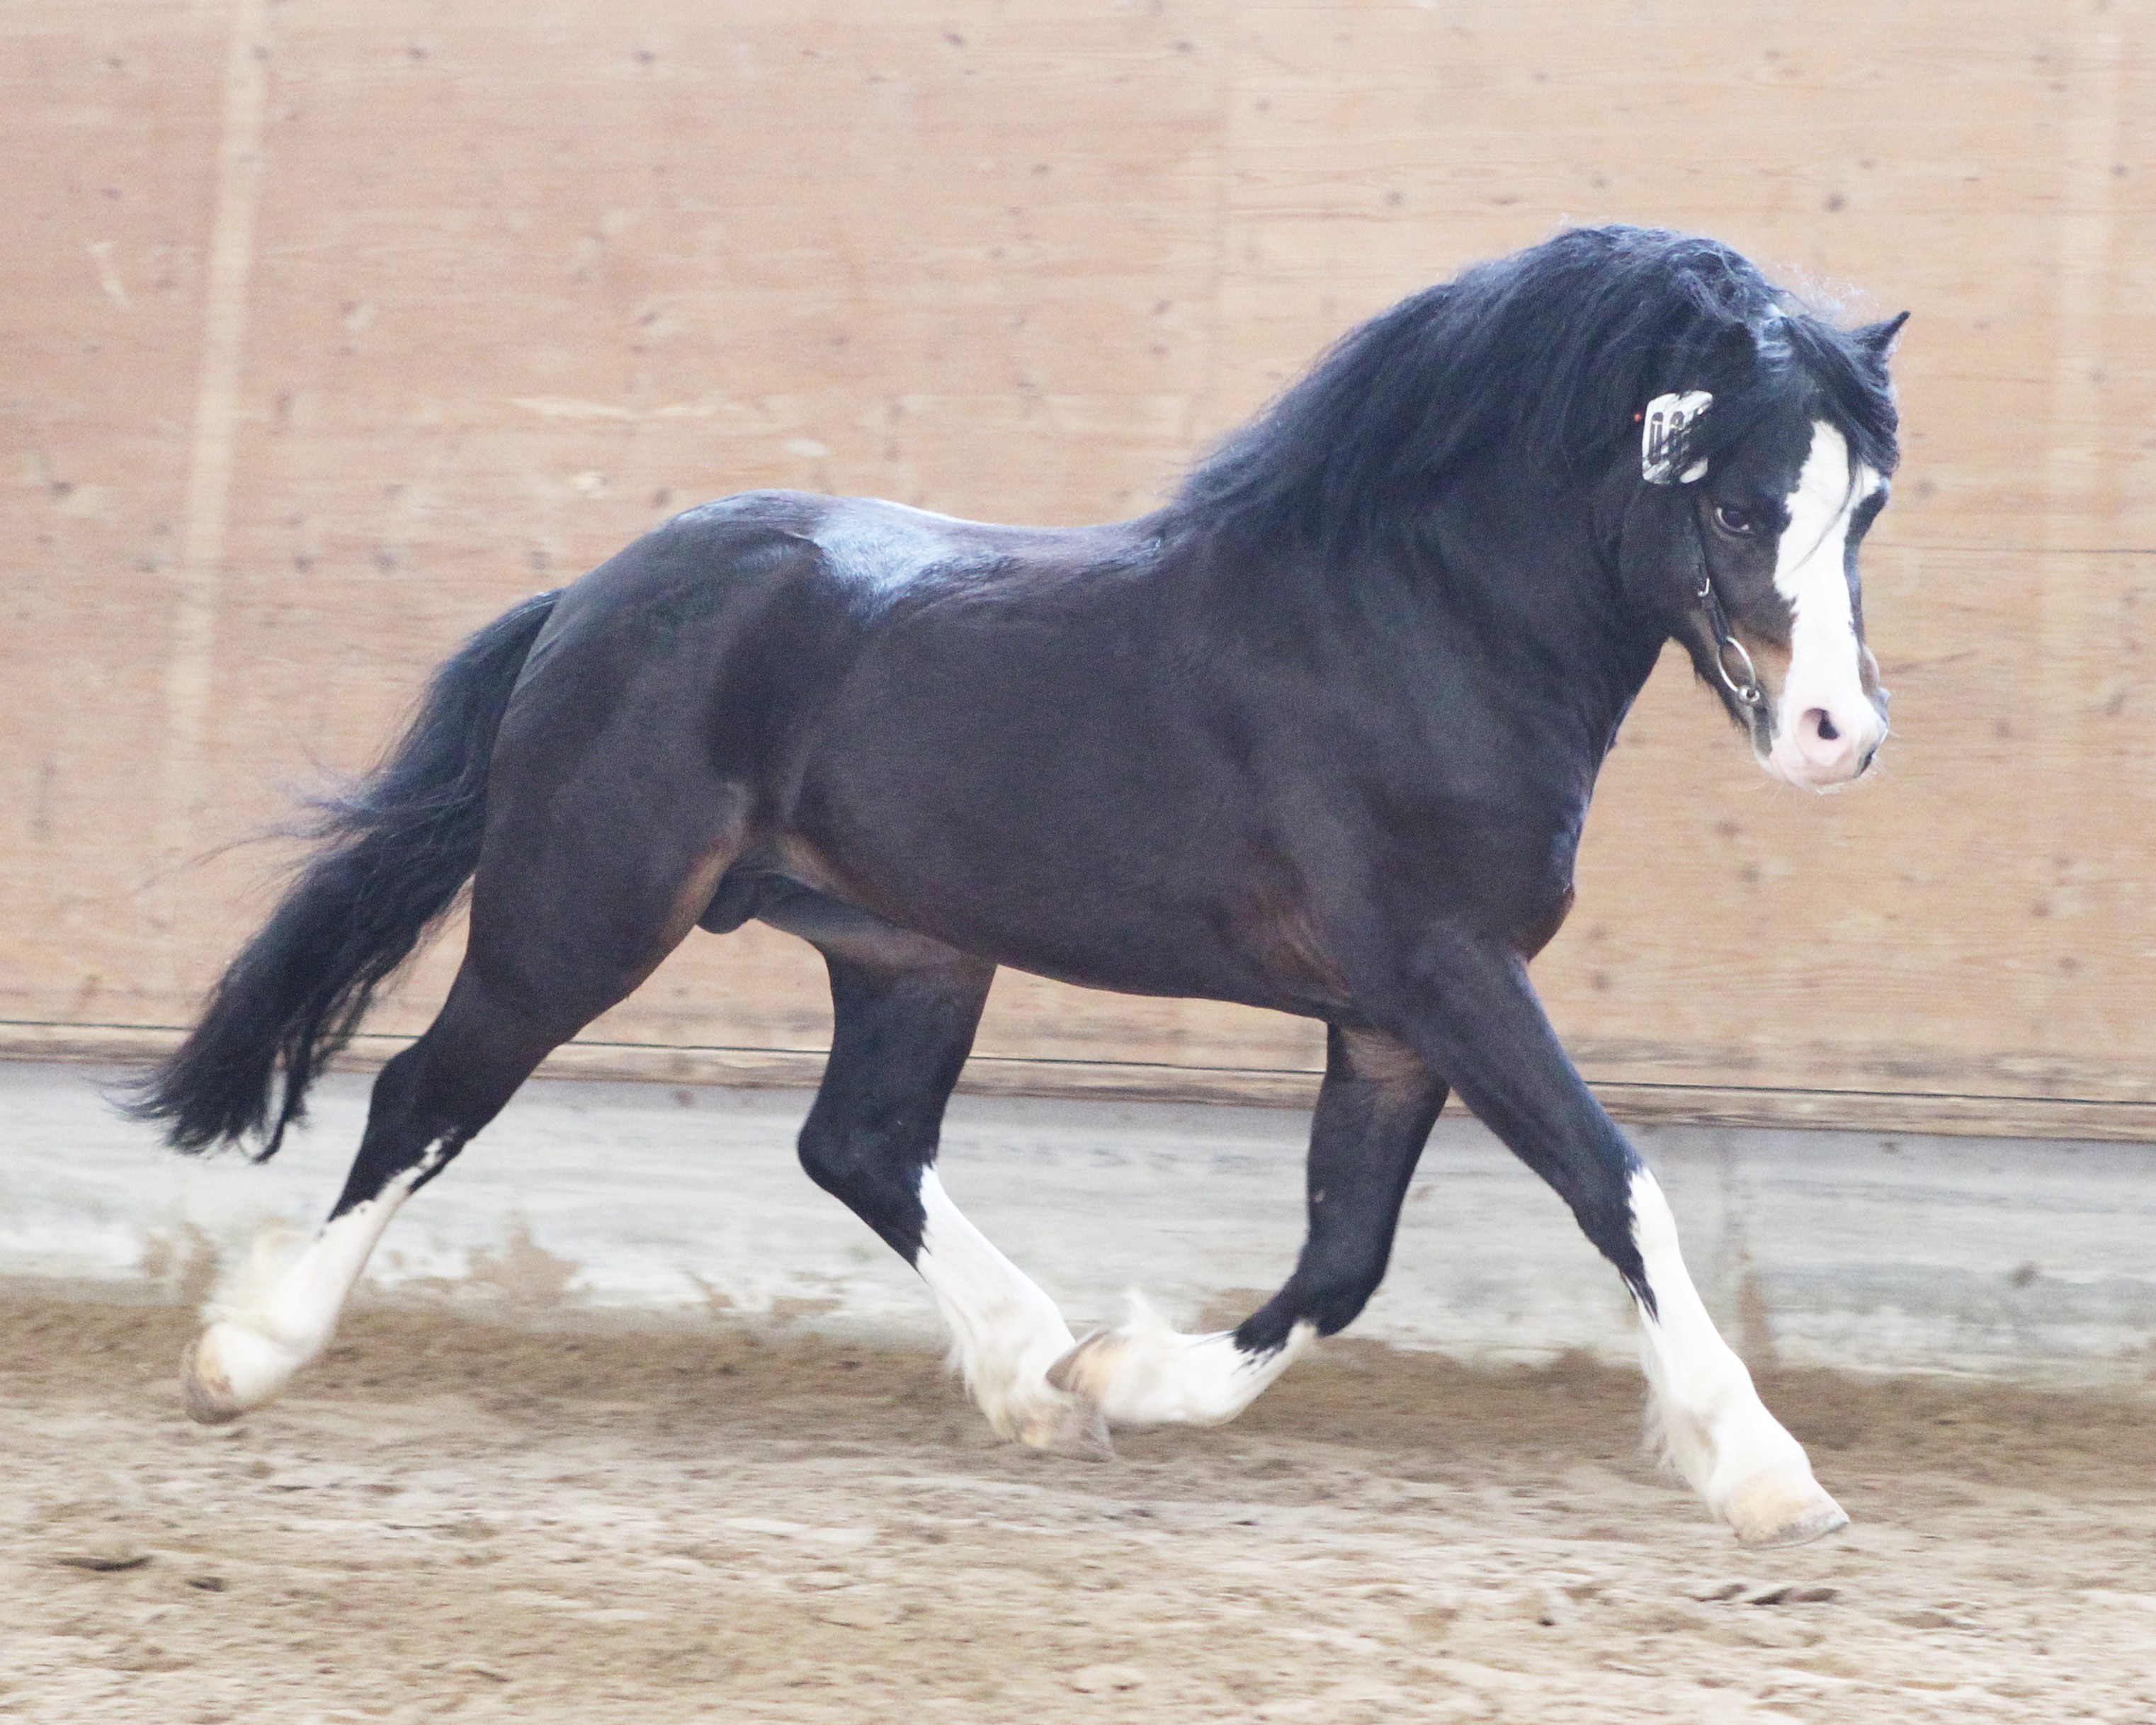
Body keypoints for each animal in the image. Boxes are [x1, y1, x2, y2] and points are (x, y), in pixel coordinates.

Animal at [130, 225, 1905, 1552]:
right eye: (1740, 500)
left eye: (1865, 503)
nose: (1840, 736)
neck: (1423, 626)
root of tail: (591, 594)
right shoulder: (1447, 972)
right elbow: (1613, 1181)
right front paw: (1770, 1473)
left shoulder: (1390, 1019)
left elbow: (1344, 1255)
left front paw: (1122, 1374)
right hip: (577, 915)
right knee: (425, 1094)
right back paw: (241, 1353)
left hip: (907, 954)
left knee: (856, 1143)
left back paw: (1036, 1378)